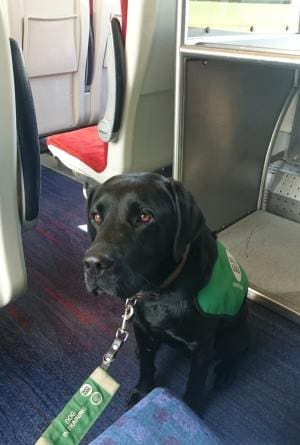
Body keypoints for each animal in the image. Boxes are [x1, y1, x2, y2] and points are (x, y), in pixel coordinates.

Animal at [83, 173, 250, 412]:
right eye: (96, 216)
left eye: (144, 217)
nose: (93, 264)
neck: (158, 292)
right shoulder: (141, 328)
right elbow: (146, 365)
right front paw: (142, 391)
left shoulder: (201, 346)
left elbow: (196, 381)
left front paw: (190, 409)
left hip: (234, 333)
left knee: (239, 350)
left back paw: (226, 371)